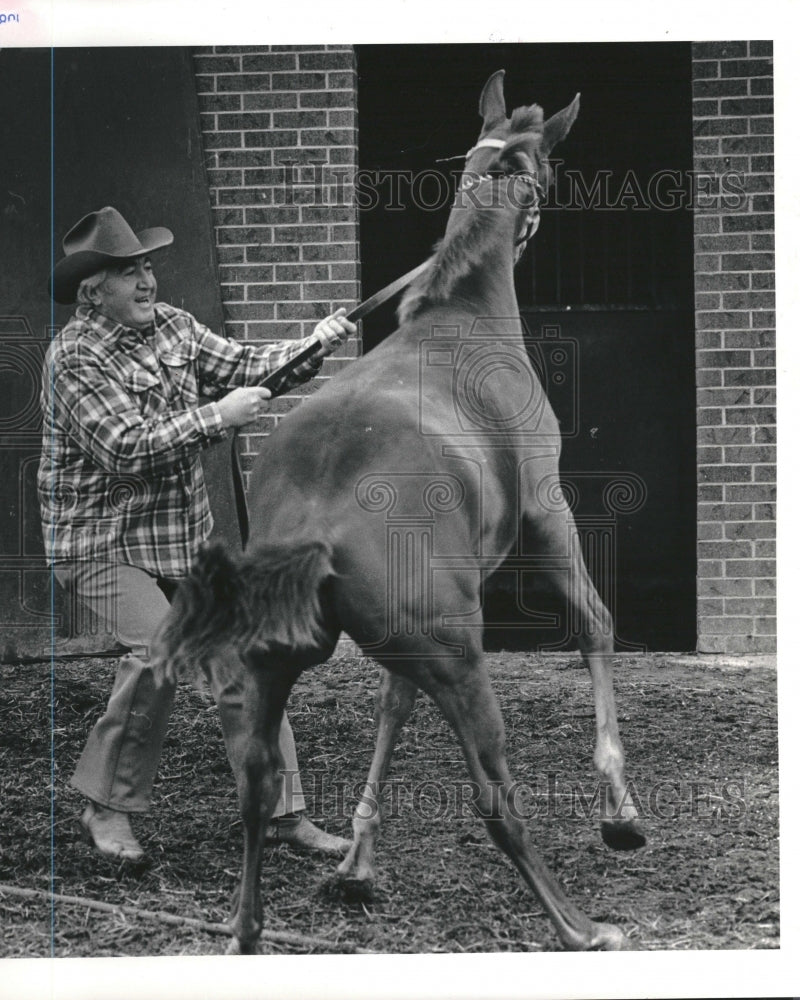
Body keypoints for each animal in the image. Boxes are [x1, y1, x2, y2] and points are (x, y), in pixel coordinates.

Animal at [155, 72, 644, 952]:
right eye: (549, 173)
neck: (464, 314)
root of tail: (317, 521)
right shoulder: (547, 508)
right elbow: (595, 622)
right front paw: (620, 813)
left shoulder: (400, 642)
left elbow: (390, 706)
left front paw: (357, 863)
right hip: (459, 654)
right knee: (495, 800)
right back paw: (582, 928)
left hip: (283, 661)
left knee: (255, 786)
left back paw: (246, 928)